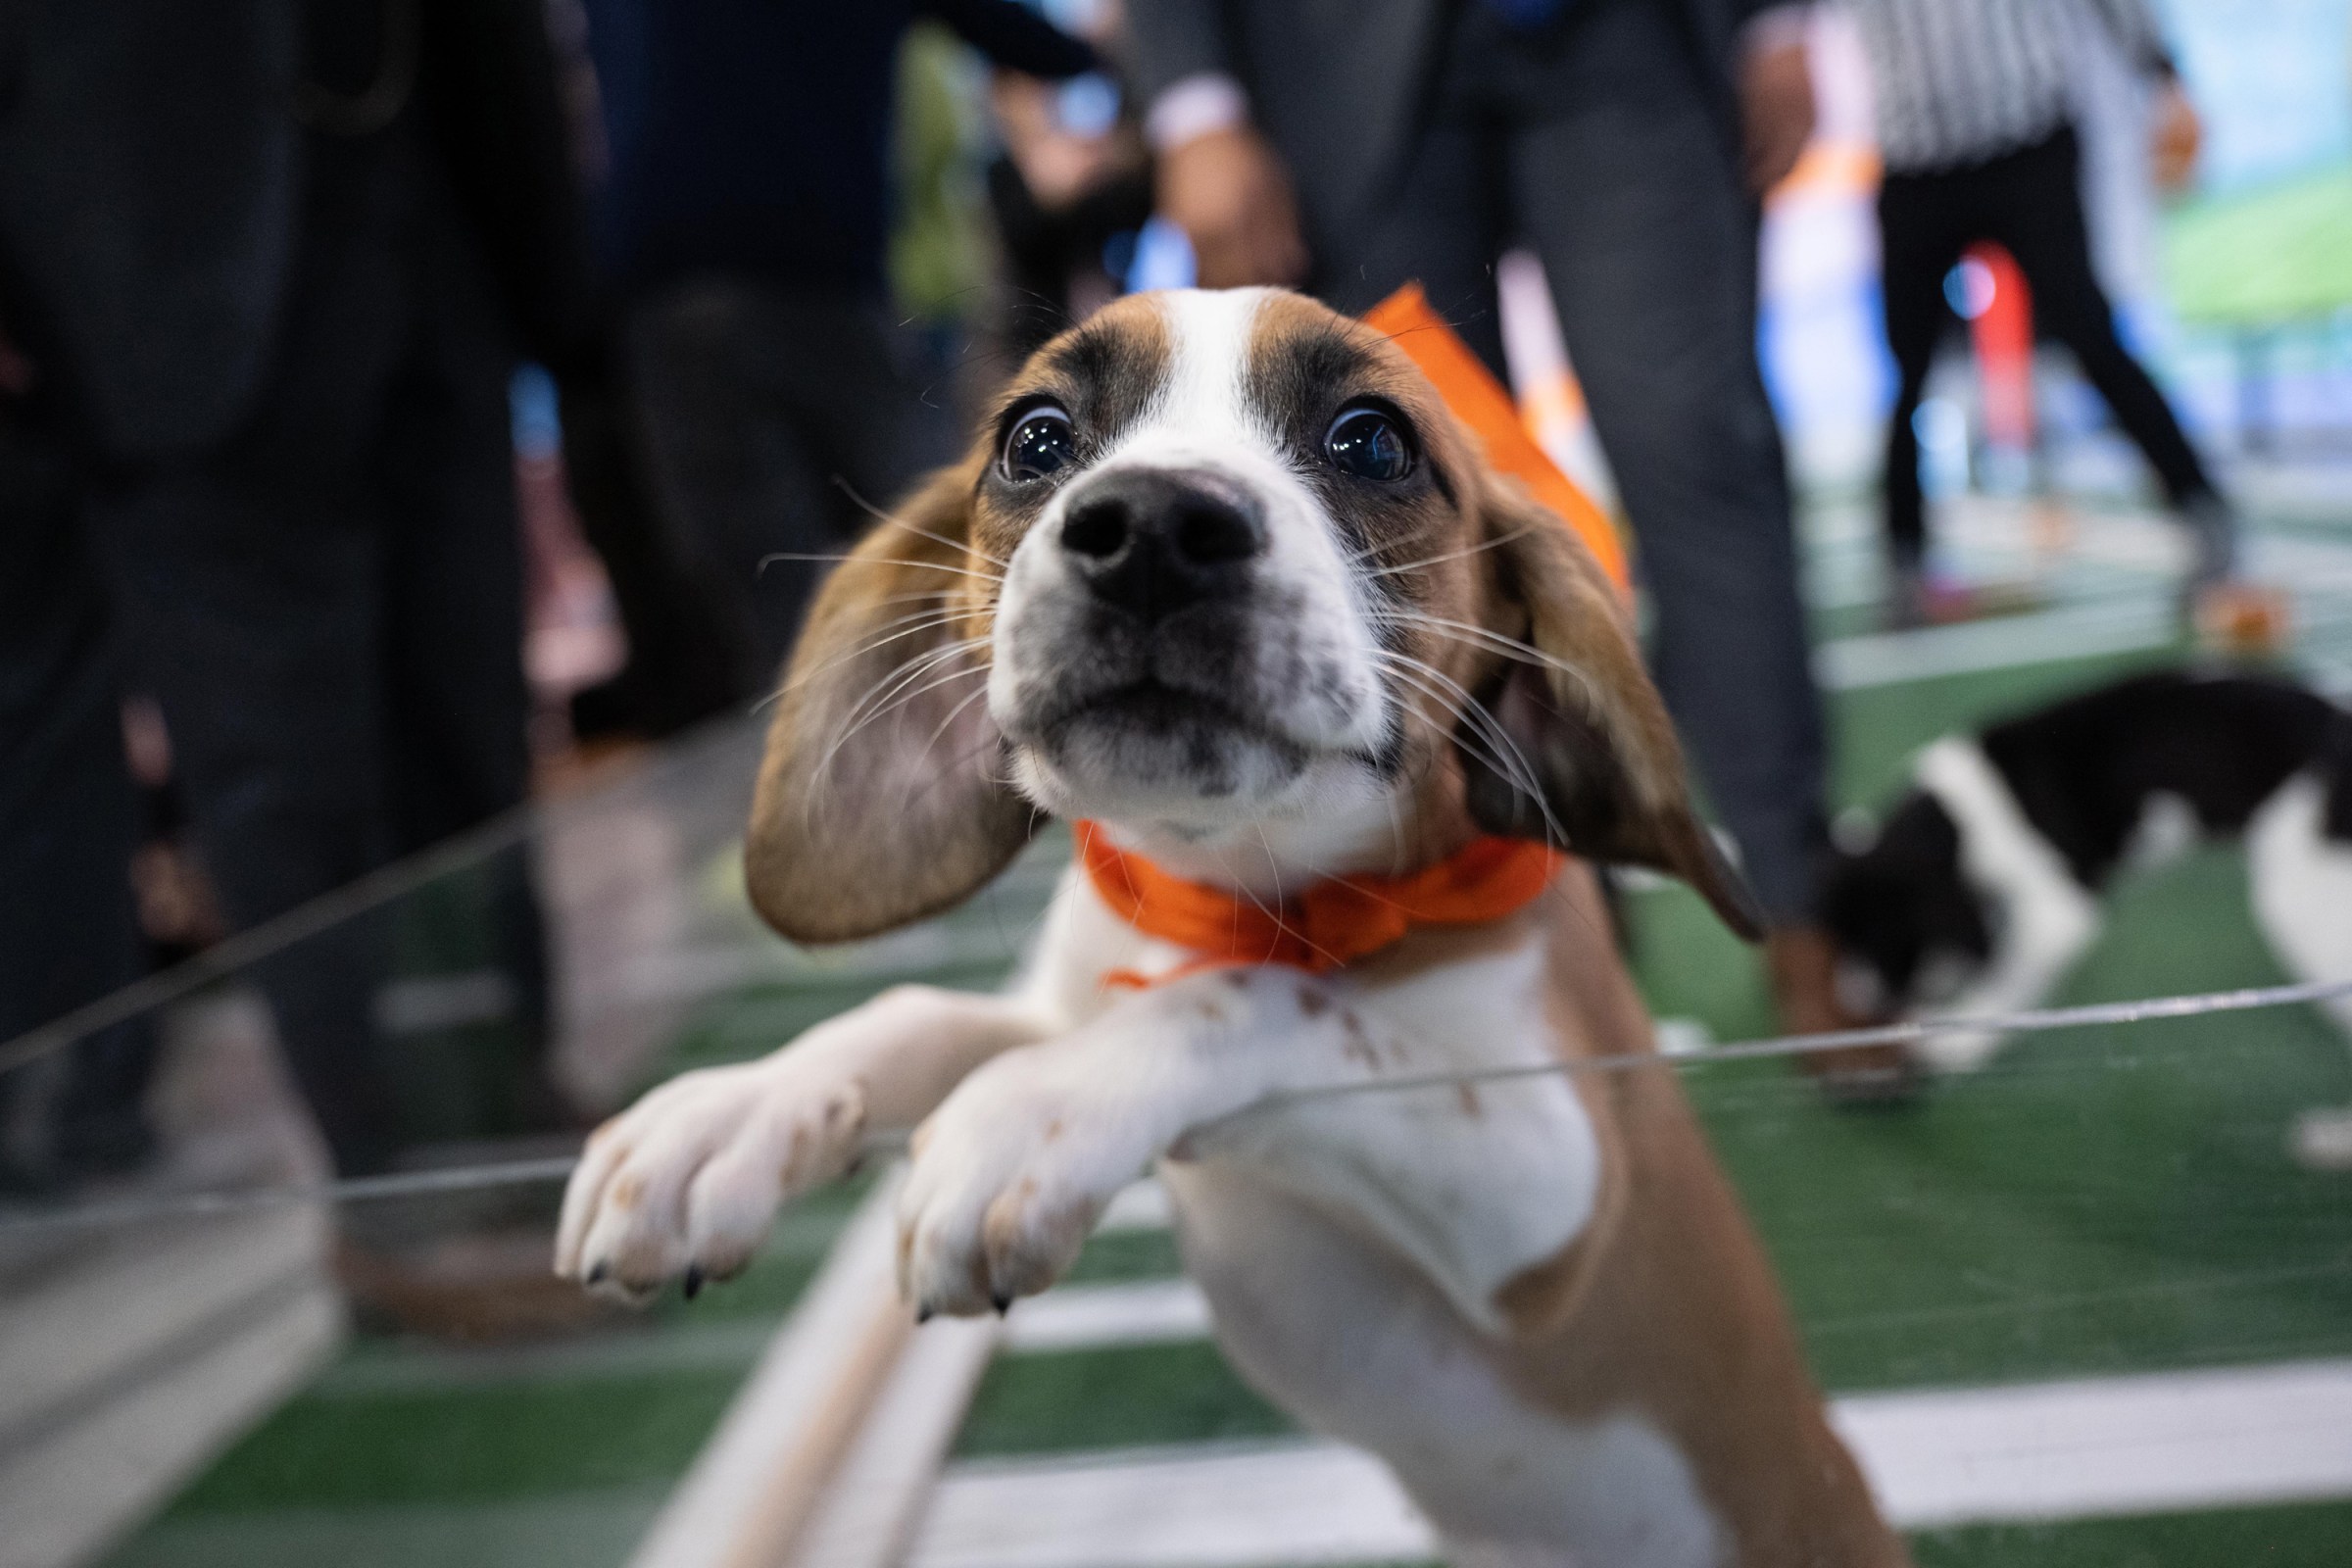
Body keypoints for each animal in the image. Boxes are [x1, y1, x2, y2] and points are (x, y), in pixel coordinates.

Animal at [555, 287, 1909, 1560]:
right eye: (1035, 439)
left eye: (1372, 440)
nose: (1150, 529)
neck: (1223, 889)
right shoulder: (1061, 998)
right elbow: (916, 1015)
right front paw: (725, 1117)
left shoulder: (1555, 1192)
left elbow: (1275, 999)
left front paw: (1035, 1113)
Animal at [1815, 667, 2352, 1161]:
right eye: (1841, 936)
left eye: (1882, 942)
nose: (1855, 997)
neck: (1957, 823)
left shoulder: (2058, 913)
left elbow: (2007, 979)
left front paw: (1953, 1043)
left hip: (2299, 906)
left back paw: (2335, 1139)